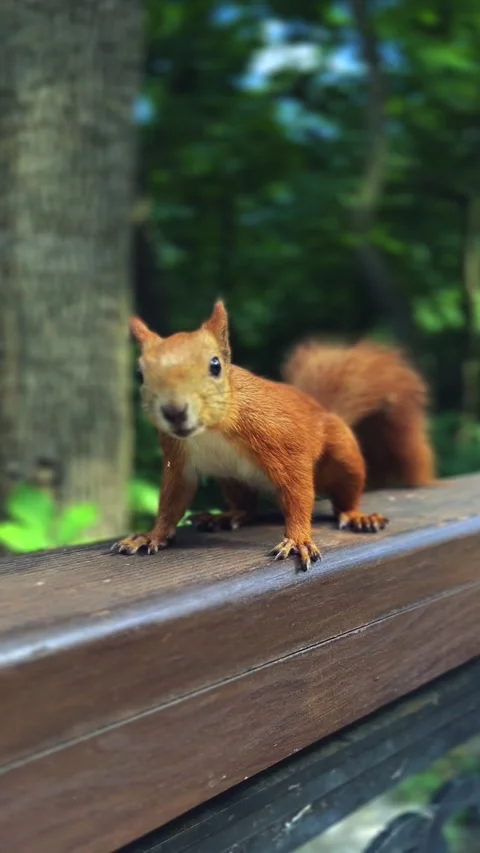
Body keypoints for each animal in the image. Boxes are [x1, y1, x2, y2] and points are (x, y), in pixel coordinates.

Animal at [114, 300, 388, 572]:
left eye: (215, 365)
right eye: (139, 374)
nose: (174, 412)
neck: (211, 430)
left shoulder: (279, 437)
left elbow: (297, 489)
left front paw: (298, 539)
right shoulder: (178, 457)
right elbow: (173, 500)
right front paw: (152, 535)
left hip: (343, 456)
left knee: (346, 494)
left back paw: (358, 516)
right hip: (231, 478)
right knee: (247, 507)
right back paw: (225, 516)